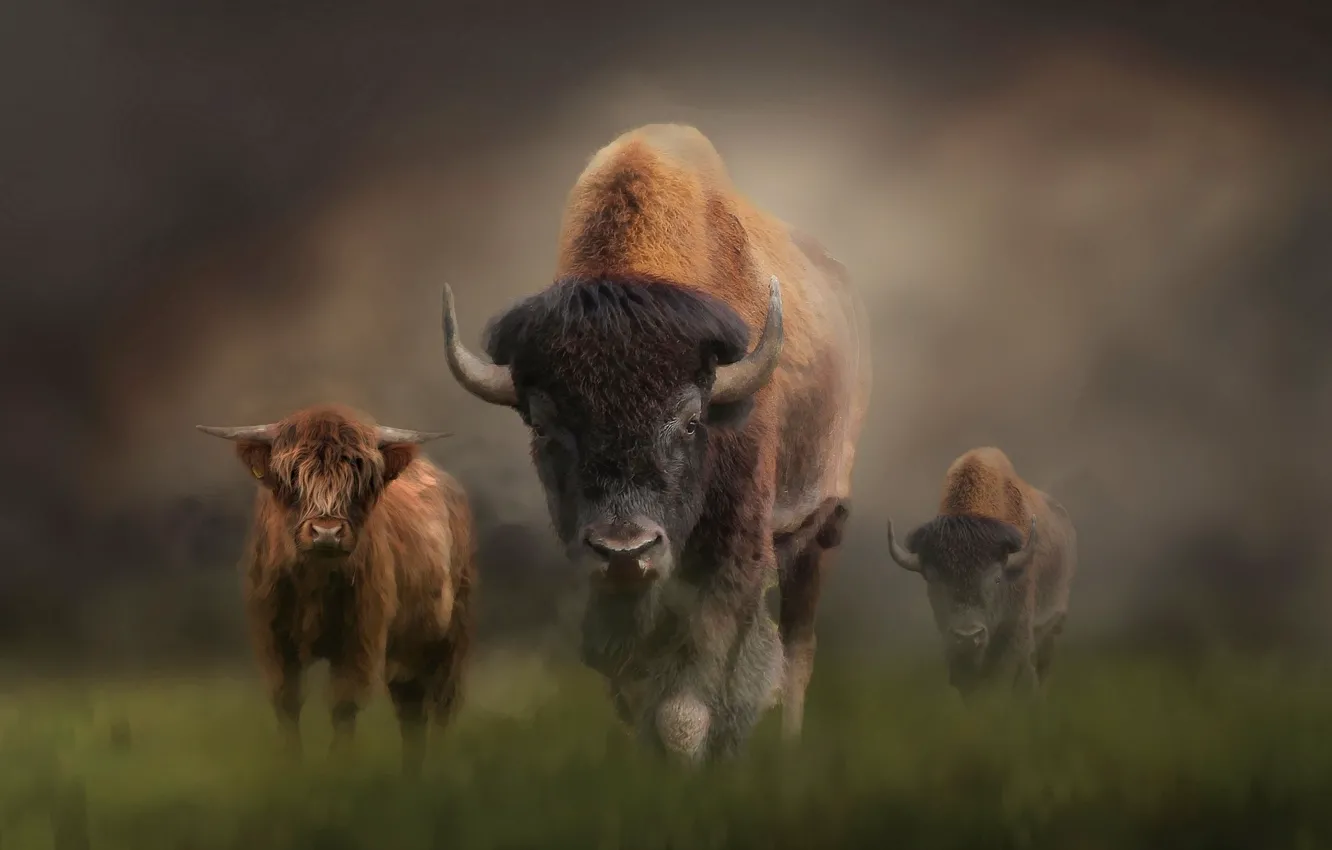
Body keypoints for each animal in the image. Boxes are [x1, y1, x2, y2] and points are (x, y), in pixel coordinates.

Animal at [197, 404, 476, 776]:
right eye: (293, 475)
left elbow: (344, 703)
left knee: (443, 701)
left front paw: (339, 770)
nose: (326, 533)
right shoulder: (271, 635)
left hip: (453, 633)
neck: (314, 580)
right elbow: (286, 700)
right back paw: (411, 776)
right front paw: (291, 766)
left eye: (360, 478)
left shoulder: (361, 636)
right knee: (411, 708)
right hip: (408, 649)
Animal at [441, 123, 871, 760]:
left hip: (822, 523)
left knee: (798, 648)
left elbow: (692, 698)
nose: (626, 548)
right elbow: (633, 683)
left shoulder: (732, 550)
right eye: (543, 426)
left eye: (691, 421)